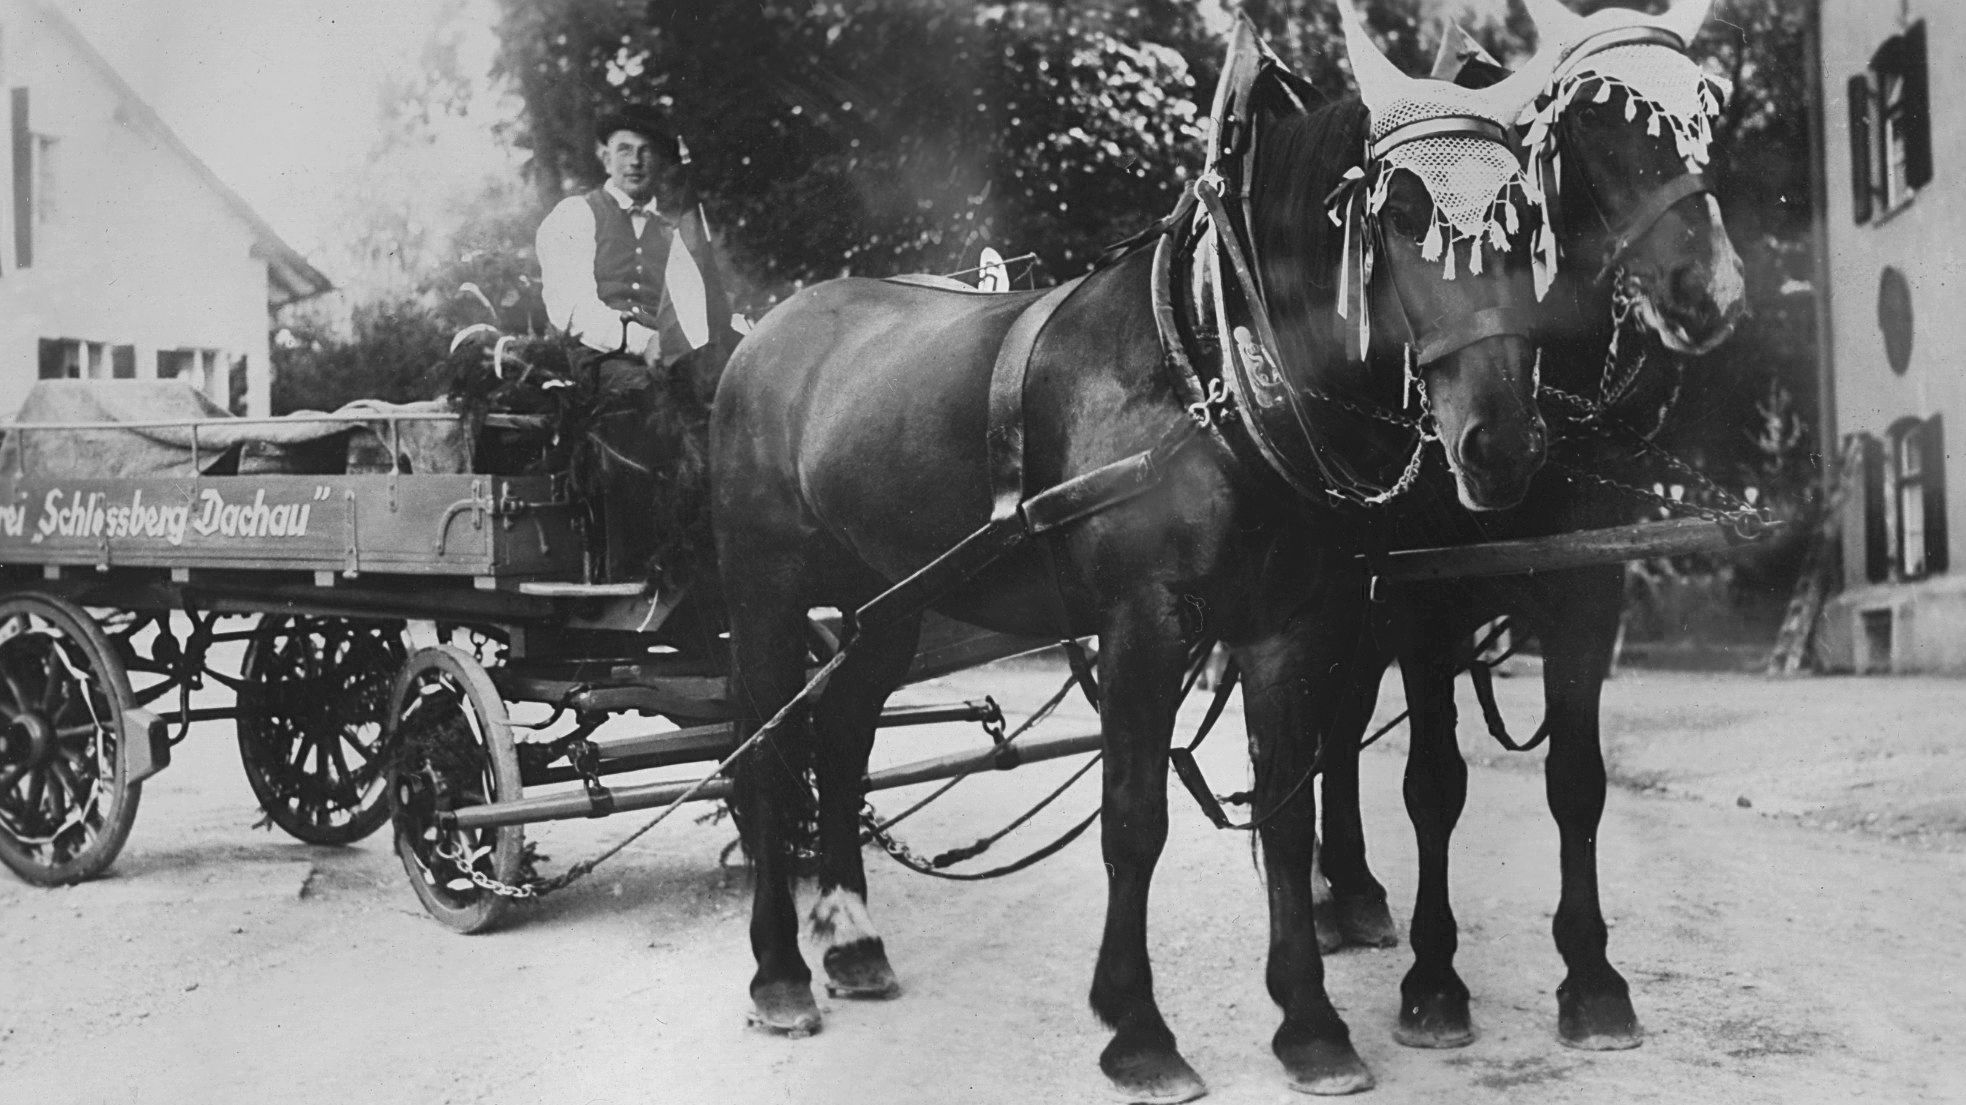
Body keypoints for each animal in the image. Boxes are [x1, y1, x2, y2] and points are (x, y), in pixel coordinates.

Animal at [715, 19, 1557, 1101]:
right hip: (766, 590)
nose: (1501, 443)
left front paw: (1311, 1023)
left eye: (1526, 219)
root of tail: (767, 331)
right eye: (1402, 212)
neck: (1213, 360)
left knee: (841, 737)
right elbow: (1134, 818)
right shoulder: (1142, 622)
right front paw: (1140, 1029)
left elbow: (1285, 811)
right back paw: (779, 971)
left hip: (888, 603)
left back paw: (853, 940)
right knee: (766, 756)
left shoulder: (1286, 626)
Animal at [1305, 0, 1753, 1046]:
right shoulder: (1423, 603)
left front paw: (1591, 975)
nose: (1706, 288)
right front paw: (1435, 979)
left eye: (1706, 107)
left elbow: (1576, 779)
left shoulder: (1589, 589)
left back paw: (1350, 889)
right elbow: (1433, 784)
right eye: (1592, 118)